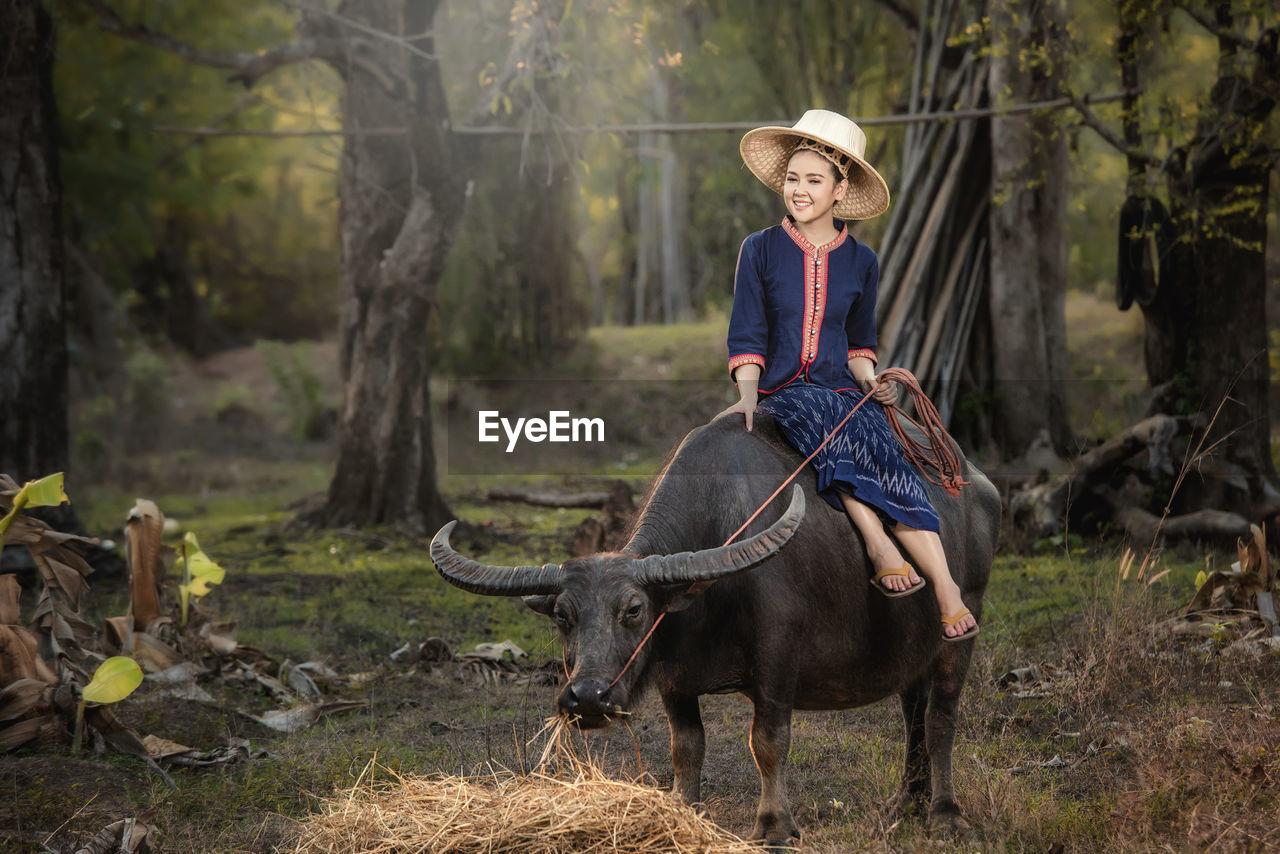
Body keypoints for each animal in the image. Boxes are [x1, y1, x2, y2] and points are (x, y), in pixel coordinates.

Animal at [435, 414, 1003, 850]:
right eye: (562, 615)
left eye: (634, 610)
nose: (588, 699)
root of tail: (976, 484)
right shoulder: (675, 678)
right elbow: (686, 747)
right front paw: (683, 810)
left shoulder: (778, 662)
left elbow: (768, 741)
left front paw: (774, 827)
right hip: (912, 648)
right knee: (913, 712)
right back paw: (906, 802)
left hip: (961, 626)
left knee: (940, 716)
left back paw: (944, 814)